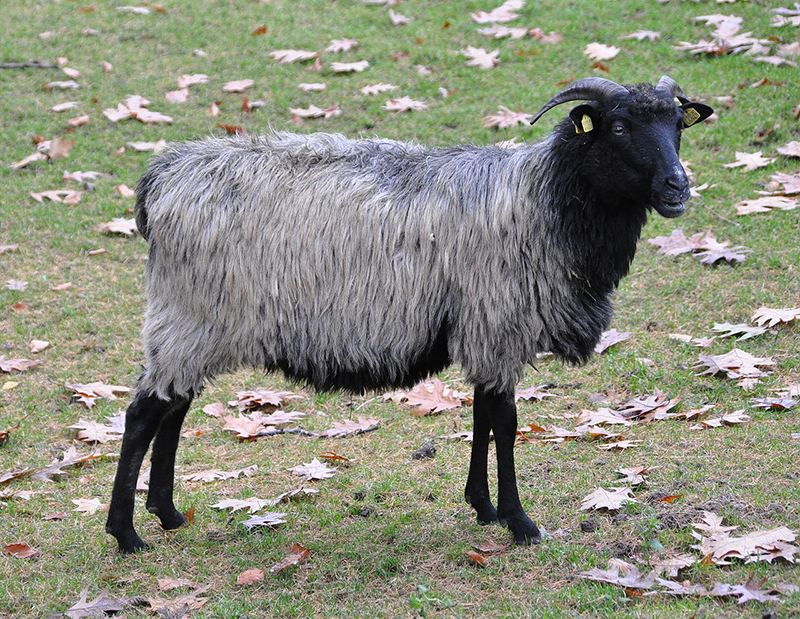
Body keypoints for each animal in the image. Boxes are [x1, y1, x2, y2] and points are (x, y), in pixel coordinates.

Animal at [106, 75, 712, 556]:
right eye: (618, 128)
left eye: (677, 125)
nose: (677, 186)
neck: (546, 198)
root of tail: (163, 176)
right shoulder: (498, 321)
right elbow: (506, 423)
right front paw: (519, 522)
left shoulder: (482, 326)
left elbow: (482, 415)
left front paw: (483, 507)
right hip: (190, 315)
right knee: (142, 415)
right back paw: (126, 534)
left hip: (196, 323)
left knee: (174, 409)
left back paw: (167, 514)